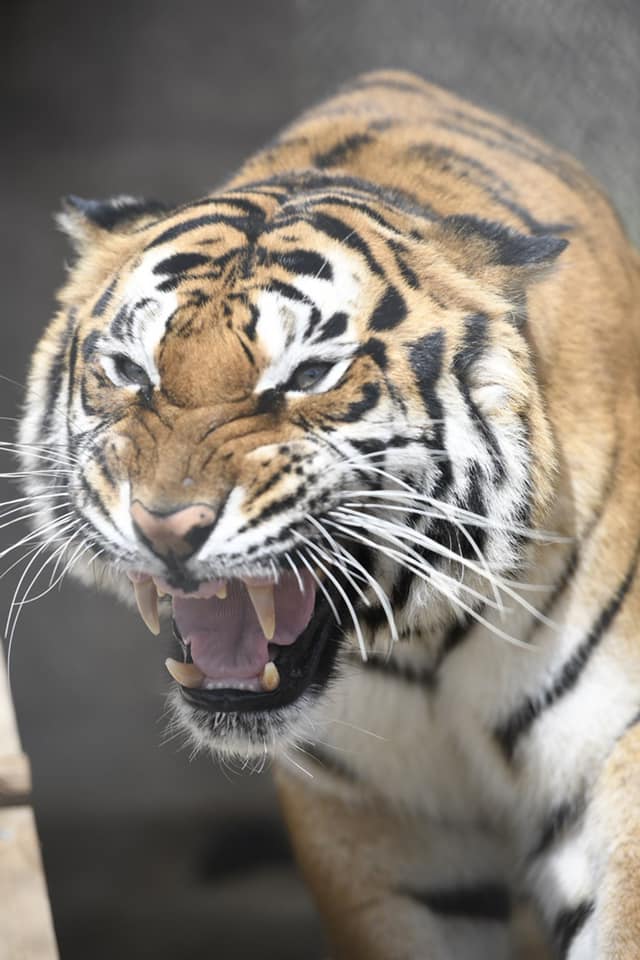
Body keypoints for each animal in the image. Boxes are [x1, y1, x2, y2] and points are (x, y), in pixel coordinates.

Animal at [16, 69, 640, 959]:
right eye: (131, 370)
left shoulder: (617, 756)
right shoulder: (366, 818)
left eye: (309, 374)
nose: (167, 526)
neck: (426, 644)